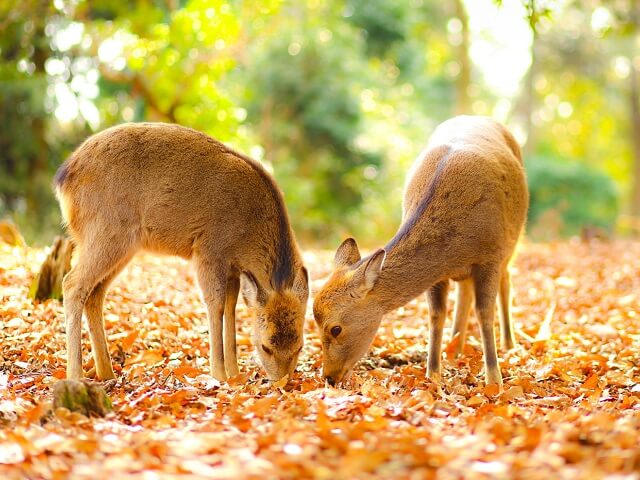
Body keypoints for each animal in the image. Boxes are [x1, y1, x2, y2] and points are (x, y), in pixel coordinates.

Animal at [53, 123, 308, 382]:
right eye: (266, 346)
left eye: (300, 345)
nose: (282, 382)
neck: (246, 237)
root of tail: (64, 178)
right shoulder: (208, 250)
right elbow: (215, 304)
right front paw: (219, 375)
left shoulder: (234, 268)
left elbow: (231, 307)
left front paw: (235, 374)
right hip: (106, 231)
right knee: (72, 283)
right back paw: (75, 375)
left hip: (119, 245)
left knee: (95, 293)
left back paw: (107, 374)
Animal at [312, 117, 528, 390]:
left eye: (336, 329)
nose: (329, 377)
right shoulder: (438, 275)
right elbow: (436, 314)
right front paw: (433, 374)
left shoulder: (490, 255)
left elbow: (484, 314)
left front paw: (494, 380)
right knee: (465, 291)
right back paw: (455, 349)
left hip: (513, 239)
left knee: (506, 281)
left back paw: (509, 344)